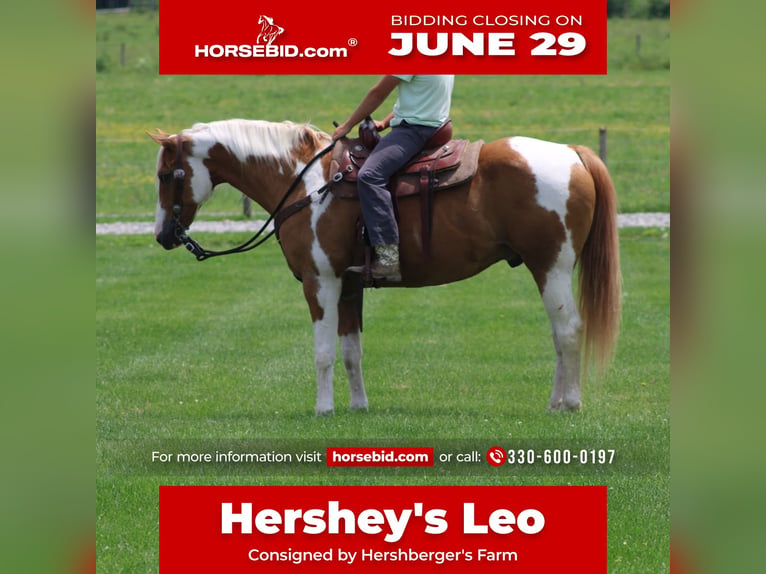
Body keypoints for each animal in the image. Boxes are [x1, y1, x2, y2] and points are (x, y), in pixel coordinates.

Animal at [149, 119, 621, 415]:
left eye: (166, 175)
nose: (163, 235)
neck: (306, 184)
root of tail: (573, 154)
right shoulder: (349, 286)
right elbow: (351, 351)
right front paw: (357, 407)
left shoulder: (320, 283)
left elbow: (323, 352)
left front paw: (323, 409)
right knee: (558, 336)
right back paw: (555, 402)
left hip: (551, 267)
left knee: (568, 331)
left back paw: (569, 404)